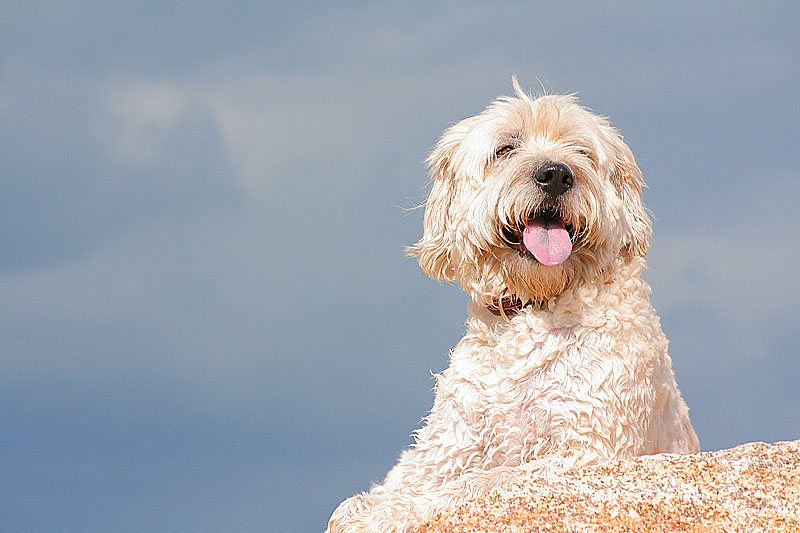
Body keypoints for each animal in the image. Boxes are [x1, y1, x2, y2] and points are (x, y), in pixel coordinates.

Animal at [328, 79, 696, 532]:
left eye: (581, 151)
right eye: (505, 149)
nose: (555, 174)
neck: (532, 310)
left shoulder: (588, 449)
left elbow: (479, 482)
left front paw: (385, 513)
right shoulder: (445, 450)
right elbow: (408, 482)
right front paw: (364, 506)